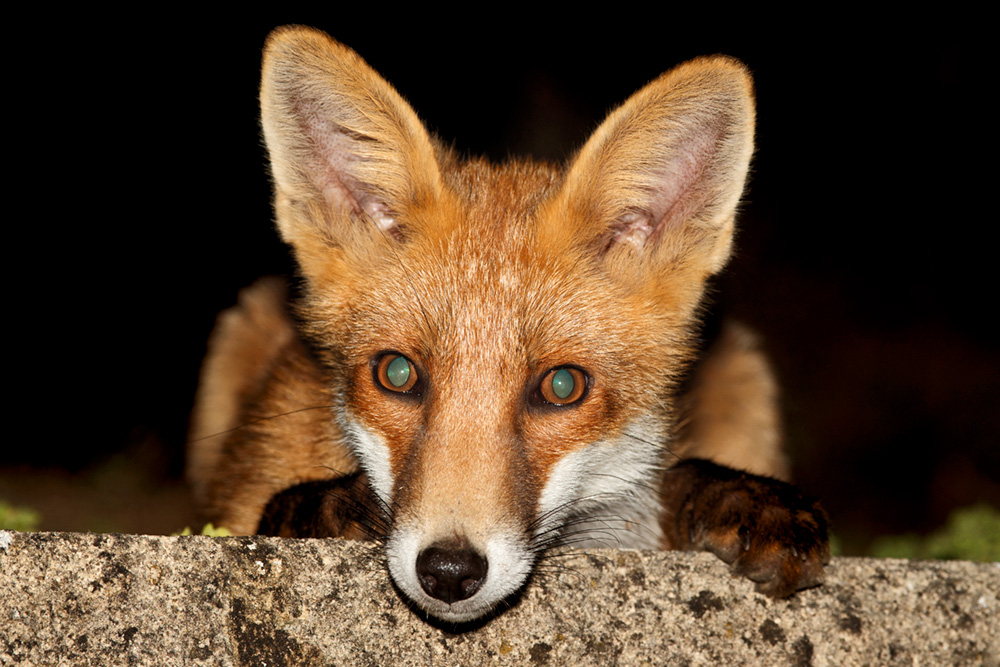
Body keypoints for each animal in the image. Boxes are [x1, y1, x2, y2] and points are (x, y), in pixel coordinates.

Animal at [188, 26, 829, 624]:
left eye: (563, 386)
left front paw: (736, 497)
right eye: (397, 373)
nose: (449, 572)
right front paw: (326, 508)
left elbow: (668, 482)